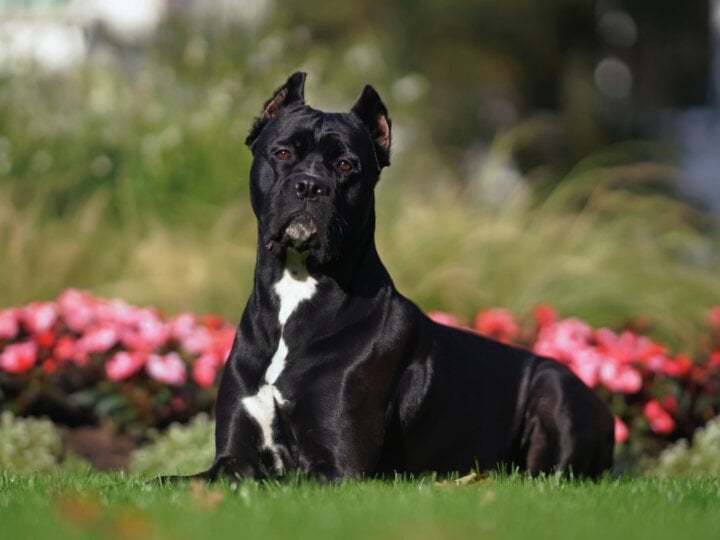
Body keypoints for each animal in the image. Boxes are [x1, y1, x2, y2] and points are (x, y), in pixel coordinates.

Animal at [198, 73, 612, 480]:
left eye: (346, 165)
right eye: (282, 153)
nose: (310, 185)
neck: (297, 287)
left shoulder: (336, 466)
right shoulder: (233, 458)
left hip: (555, 387)